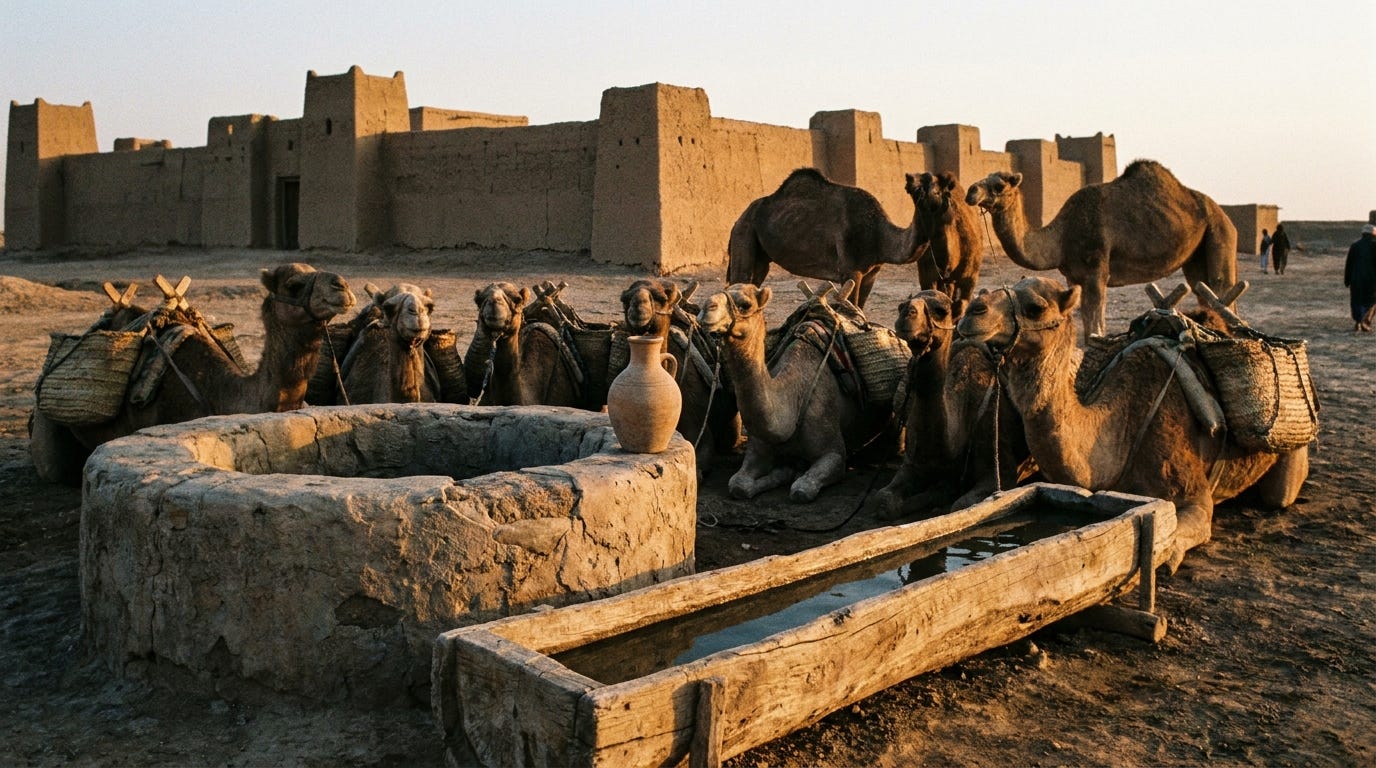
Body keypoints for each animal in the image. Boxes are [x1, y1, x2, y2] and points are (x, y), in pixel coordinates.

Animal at [697, 282, 890, 502]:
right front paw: (785, 470)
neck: (793, 401)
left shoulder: (834, 453)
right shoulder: (757, 450)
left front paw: (793, 472)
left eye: (745, 305)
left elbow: (802, 490)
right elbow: (738, 485)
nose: (706, 308)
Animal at [726, 168, 931, 308]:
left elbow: (860, 308)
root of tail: (738, 220)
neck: (880, 235)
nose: (914, 181)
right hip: (744, 233)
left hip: (759, 254)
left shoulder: (872, 273)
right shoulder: (851, 270)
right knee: (739, 279)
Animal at [871, 291, 1030, 520]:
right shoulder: (912, 463)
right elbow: (883, 501)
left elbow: (960, 505)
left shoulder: (1000, 470)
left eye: (941, 310)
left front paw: (939, 495)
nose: (906, 314)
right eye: (900, 306)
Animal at [955, 276, 1308, 567]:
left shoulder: (1195, 497)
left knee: (1279, 495)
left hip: (1291, 458)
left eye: (1036, 307)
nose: (973, 311)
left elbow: (1173, 545)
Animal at [965, 159, 1238, 342]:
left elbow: (1094, 321)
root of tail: (1223, 213)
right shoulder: (1073, 275)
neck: (1061, 236)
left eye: (999, 185)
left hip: (1220, 233)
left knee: (1222, 288)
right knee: (1203, 290)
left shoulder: (1096, 272)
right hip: (1197, 255)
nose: (971, 191)